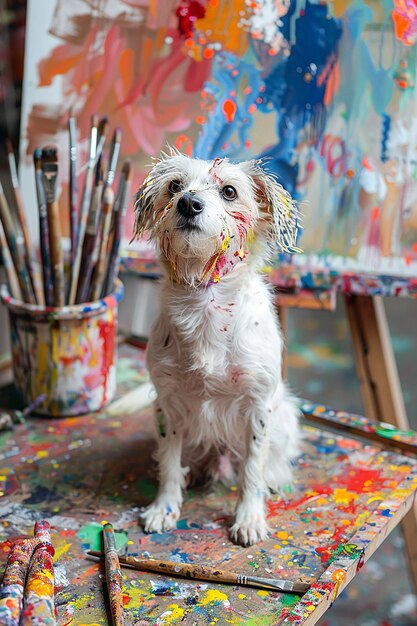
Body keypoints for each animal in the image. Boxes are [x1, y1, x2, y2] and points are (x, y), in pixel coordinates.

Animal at [132, 150, 300, 540]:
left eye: (229, 191)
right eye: (174, 186)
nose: (188, 203)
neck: (205, 302)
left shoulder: (257, 406)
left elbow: (252, 468)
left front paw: (249, 517)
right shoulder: (168, 404)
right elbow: (169, 462)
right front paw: (164, 507)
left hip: (284, 416)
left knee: (270, 462)